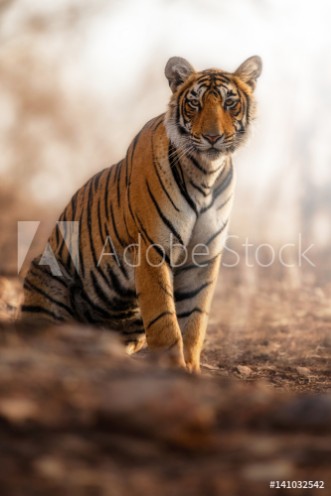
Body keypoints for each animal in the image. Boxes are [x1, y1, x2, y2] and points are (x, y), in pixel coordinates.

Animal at [22, 55, 264, 372]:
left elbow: (194, 319)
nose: (213, 137)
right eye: (195, 103)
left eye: (229, 103)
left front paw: (191, 369)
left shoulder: (204, 256)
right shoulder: (153, 247)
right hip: (47, 269)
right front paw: (174, 370)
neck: (205, 174)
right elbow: (165, 320)